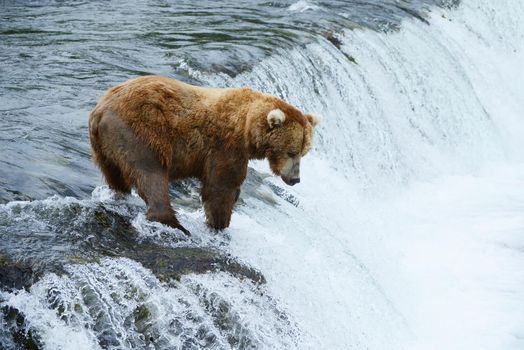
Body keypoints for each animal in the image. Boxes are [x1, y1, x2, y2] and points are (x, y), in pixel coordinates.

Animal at [89, 76, 320, 235]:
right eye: (291, 152)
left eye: (304, 152)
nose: (295, 179)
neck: (247, 130)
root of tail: (100, 111)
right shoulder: (225, 147)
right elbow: (221, 186)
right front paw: (220, 222)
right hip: (141, 133)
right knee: (150, 175)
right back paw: (173, 222)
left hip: (104, 148)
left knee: (115, 174)